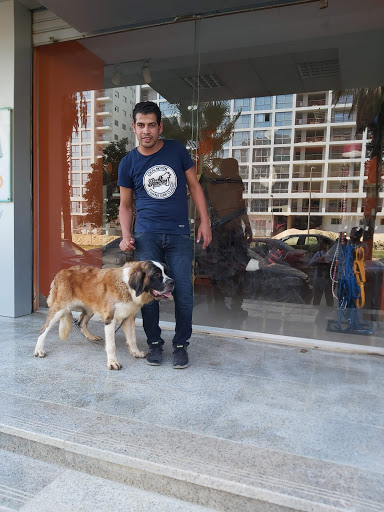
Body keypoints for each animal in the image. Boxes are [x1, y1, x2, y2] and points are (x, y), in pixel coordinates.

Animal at [33, 262, 175, 370]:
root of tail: (62, 271)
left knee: (81, 322)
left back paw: (91, 337)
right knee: (43, 329)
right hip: (59, 309)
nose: (172, 282)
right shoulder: (110, 320)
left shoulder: (129, 318)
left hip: (90, 309)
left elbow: (132, 339)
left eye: (166, 272)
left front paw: (136, 352)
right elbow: (111, 345)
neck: (127, 286)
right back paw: (39, 349)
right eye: (156, 274)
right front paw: (113, 362)